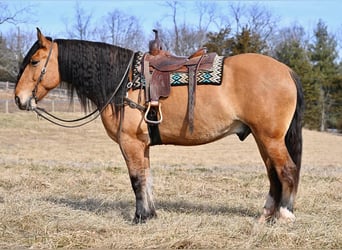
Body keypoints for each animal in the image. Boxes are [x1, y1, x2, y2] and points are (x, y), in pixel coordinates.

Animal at [14, 28, 304, 223]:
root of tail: (286, 71)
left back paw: (284, 215)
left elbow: (136, 179)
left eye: (34, 61)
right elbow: (147, 177)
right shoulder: (142, 144)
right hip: (262, 138)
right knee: (273, 173)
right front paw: (150, 214)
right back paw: (266, 214)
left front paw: (140, 217)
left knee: (287, 170)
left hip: (270, 138)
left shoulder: (129, 142)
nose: (19, 98)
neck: (123, 82)